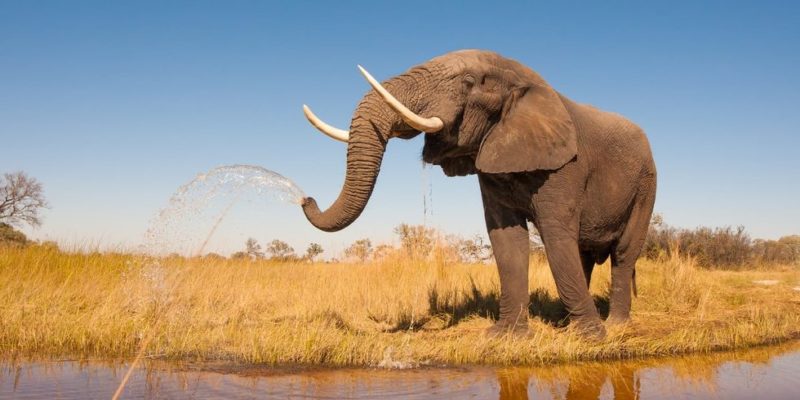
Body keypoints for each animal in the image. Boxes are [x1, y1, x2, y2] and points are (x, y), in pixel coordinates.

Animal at [300, 50, 656, 340]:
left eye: (469, 81)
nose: (306, 198)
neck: (524, 79)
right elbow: (506, 238)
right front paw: (505, 337)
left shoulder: (567, 165)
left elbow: (555, 235)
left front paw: (591, 339)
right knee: (583, 254)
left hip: (646, 185)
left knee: (623, 253)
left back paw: (614, 326)